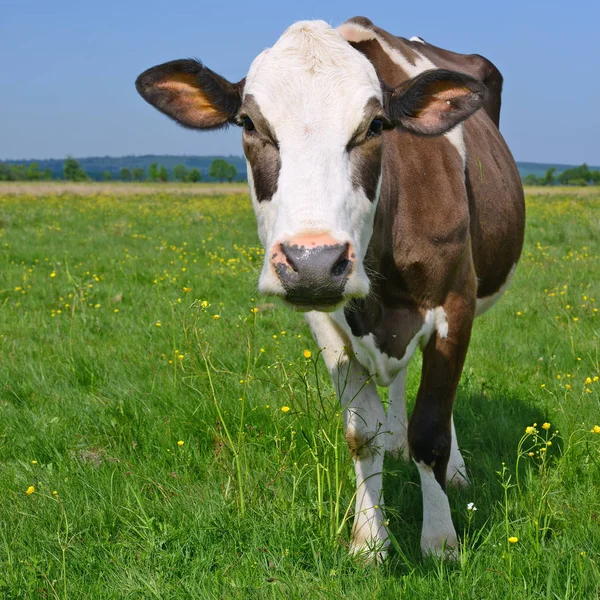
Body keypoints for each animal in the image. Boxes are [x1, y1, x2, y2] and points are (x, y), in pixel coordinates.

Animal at [137, 16, 524, 560]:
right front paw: (369, 541)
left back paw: (455, 471)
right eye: (248, 123)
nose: (314, 262)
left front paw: (440, 541)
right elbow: (362, 432)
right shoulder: (324, 319)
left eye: (376, 125)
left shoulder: (455, 301)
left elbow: (432, 430)